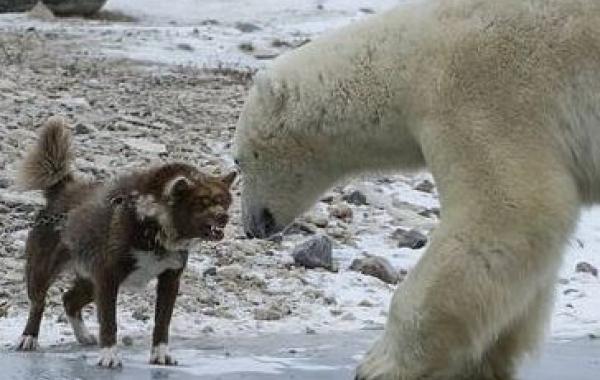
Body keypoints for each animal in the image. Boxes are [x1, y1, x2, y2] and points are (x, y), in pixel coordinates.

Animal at [14, 118, 234, 368]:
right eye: (202, 202)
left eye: (223, 201)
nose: (224, 217)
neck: (152, 223)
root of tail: (63, 189)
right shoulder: (108, 277)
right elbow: (109, 322)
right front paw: (109, 355)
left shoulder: (169, 280)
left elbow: (162, 322)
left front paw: (160, 354)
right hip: (43, 271)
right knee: (38, 303)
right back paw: (29, 337)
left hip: (90, 279)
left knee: (69, 299)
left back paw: (83, 335)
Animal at [232, 0, 600, 378]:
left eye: (239, 161)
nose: (252, 226)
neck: (409, 62)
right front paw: (483, 361)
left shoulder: (484, 97)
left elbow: (508, 213)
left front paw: (378, 365)